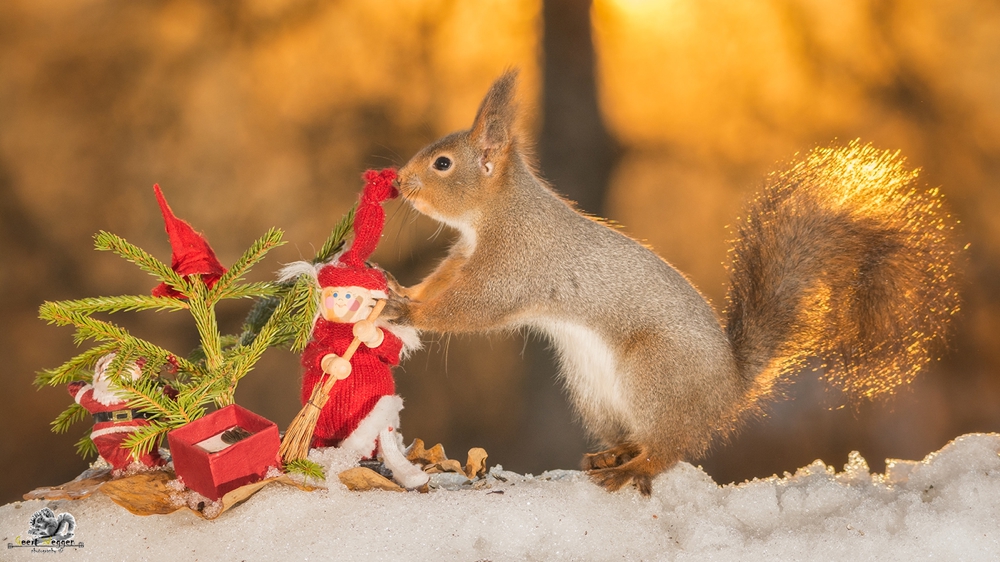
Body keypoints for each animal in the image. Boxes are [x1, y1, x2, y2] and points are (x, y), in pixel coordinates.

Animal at [382, 71, 960, 494]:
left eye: (442, 163)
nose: (399, 183)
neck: (494, 215)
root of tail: (727, 390)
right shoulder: (462, 258)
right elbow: (440, 284)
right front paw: (400, 291)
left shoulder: (513, 265)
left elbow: (470, 308)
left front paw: (408, 311)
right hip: (594, 391)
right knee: (643, 438)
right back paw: (615, 453)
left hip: (655, 375)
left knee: (668, 449)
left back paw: (630, 470)